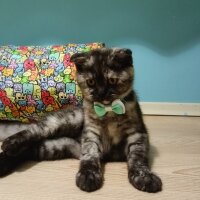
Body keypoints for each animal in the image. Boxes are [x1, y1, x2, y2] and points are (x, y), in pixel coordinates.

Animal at [0, 47, 162, 193]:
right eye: (91, 82)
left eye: (112, 80)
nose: (101, 93)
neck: (109, 112)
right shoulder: (91, 133)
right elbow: (90, 155)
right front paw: (88, 176)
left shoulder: (137, 134)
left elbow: (137, 158)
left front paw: (144, 177)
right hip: (68, 120)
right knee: (35, 130)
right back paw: (10, 144)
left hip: (58, 146)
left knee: (31, 149)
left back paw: (3, 163)